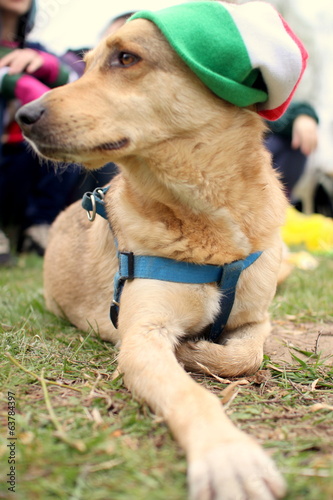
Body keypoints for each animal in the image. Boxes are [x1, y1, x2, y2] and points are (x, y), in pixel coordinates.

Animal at [15, 1, 306, 498]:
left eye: (125, 58)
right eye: (85, 65)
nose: (22, 113)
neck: (206, 221)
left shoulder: (257, 319)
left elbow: (246, 355)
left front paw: (198, 351)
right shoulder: (142, 338)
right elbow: (191, 394)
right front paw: (226, 454)